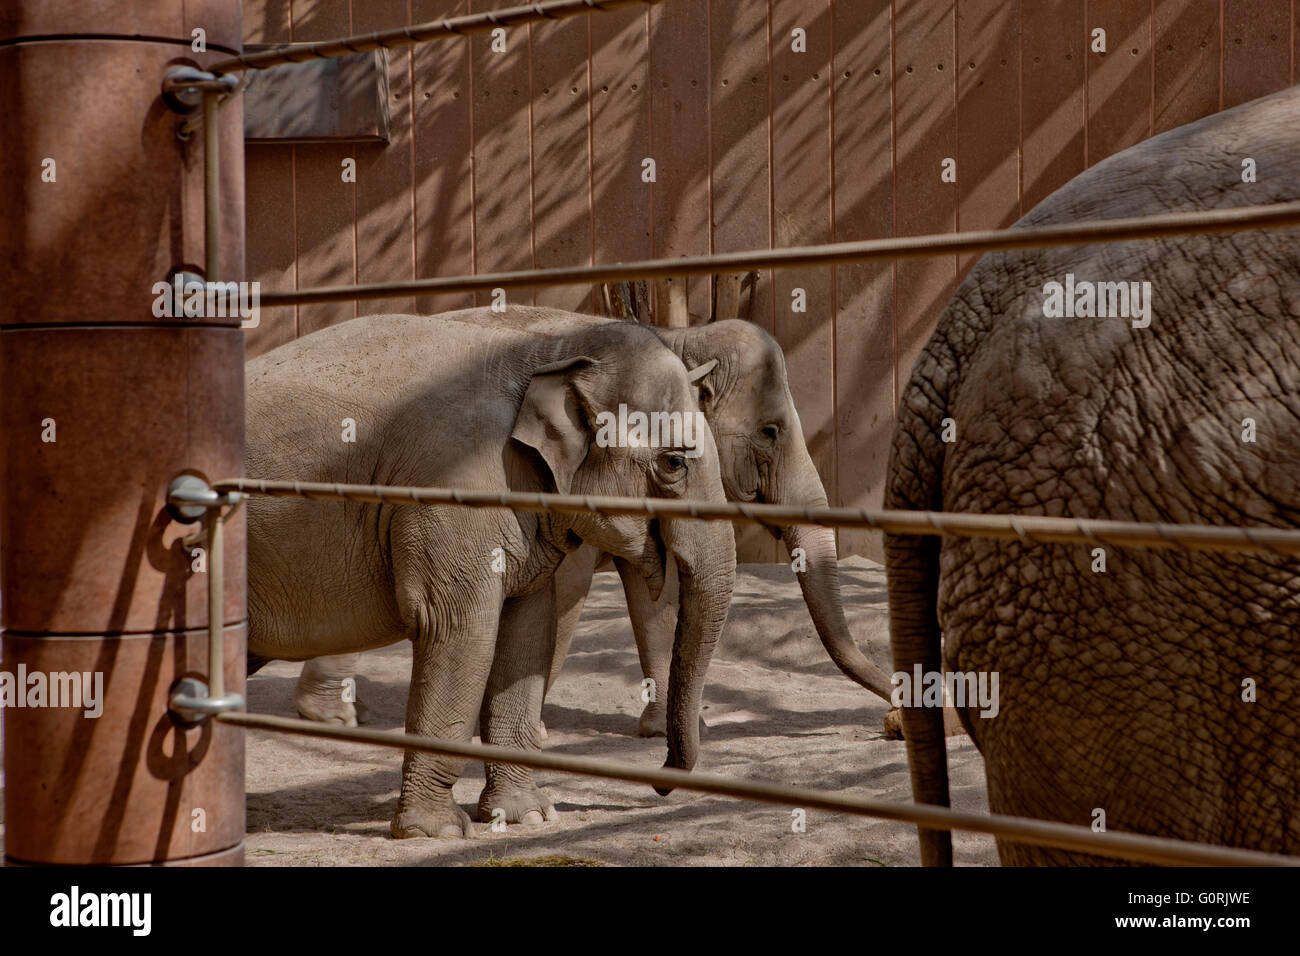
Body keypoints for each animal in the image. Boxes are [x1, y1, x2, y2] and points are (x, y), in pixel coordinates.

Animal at [245, 311, 736, 837]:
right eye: (674, 463)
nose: (660, 781)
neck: (547, 349)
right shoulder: (451, 492)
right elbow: (457, 629)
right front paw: (435, 832)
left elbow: (527, 634)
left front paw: (527, 815)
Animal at [290, 308, 900, 739]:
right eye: (771, 431)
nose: (895, 711)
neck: (676, 336)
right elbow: (569, 587)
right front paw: (533, 728)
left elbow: (655, 590)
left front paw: (669, 729)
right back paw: (332, 717)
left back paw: (334, 711)